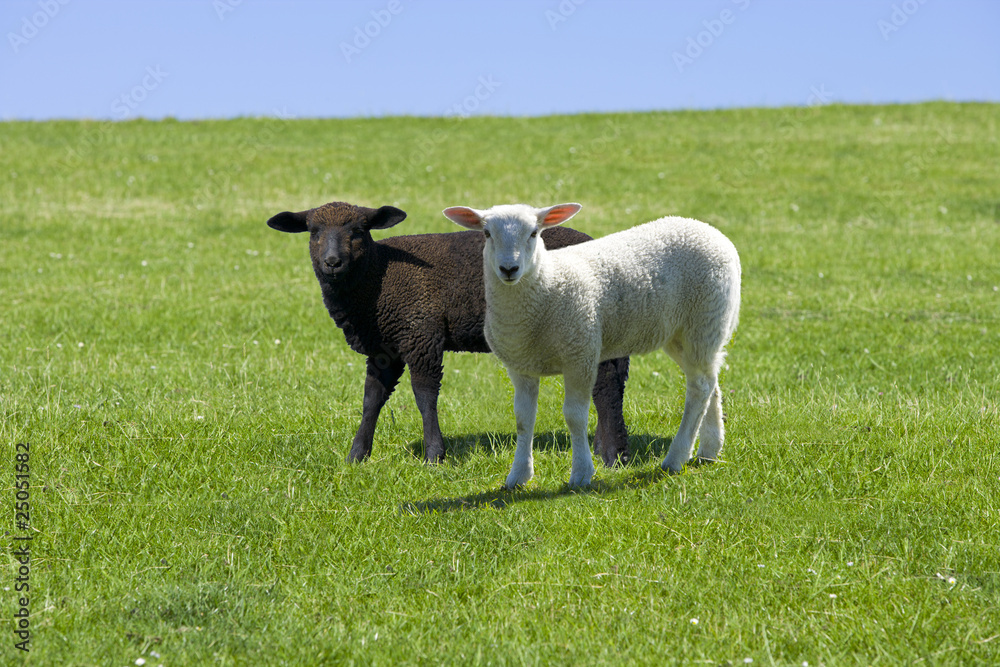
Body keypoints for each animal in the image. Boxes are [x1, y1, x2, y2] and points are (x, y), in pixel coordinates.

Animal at [267, 201, 632, 466]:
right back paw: (605, 447)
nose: (332, 262)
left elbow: (424, 395)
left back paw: (612, 457)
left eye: (358, 231)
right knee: (611, 383)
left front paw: (434, 455)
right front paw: (357, 455)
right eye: (313, 232)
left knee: (605, 385)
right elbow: (372, 398)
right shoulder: (385, 348)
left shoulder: (420, 334)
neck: (378, 275)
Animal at [443, 202, 741, 488]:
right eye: (486, 233)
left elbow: (575, 416)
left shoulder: (580, 354)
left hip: (703, 321)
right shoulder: (520, 366)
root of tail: (709, 231)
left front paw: (581, 474)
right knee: (709, 381)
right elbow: (523, 420)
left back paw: (676, 458)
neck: (547, 286)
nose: (508, 269)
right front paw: (518, 476)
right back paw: (709, 450)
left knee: (699, 387)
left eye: (534, 233)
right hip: (683, 335)